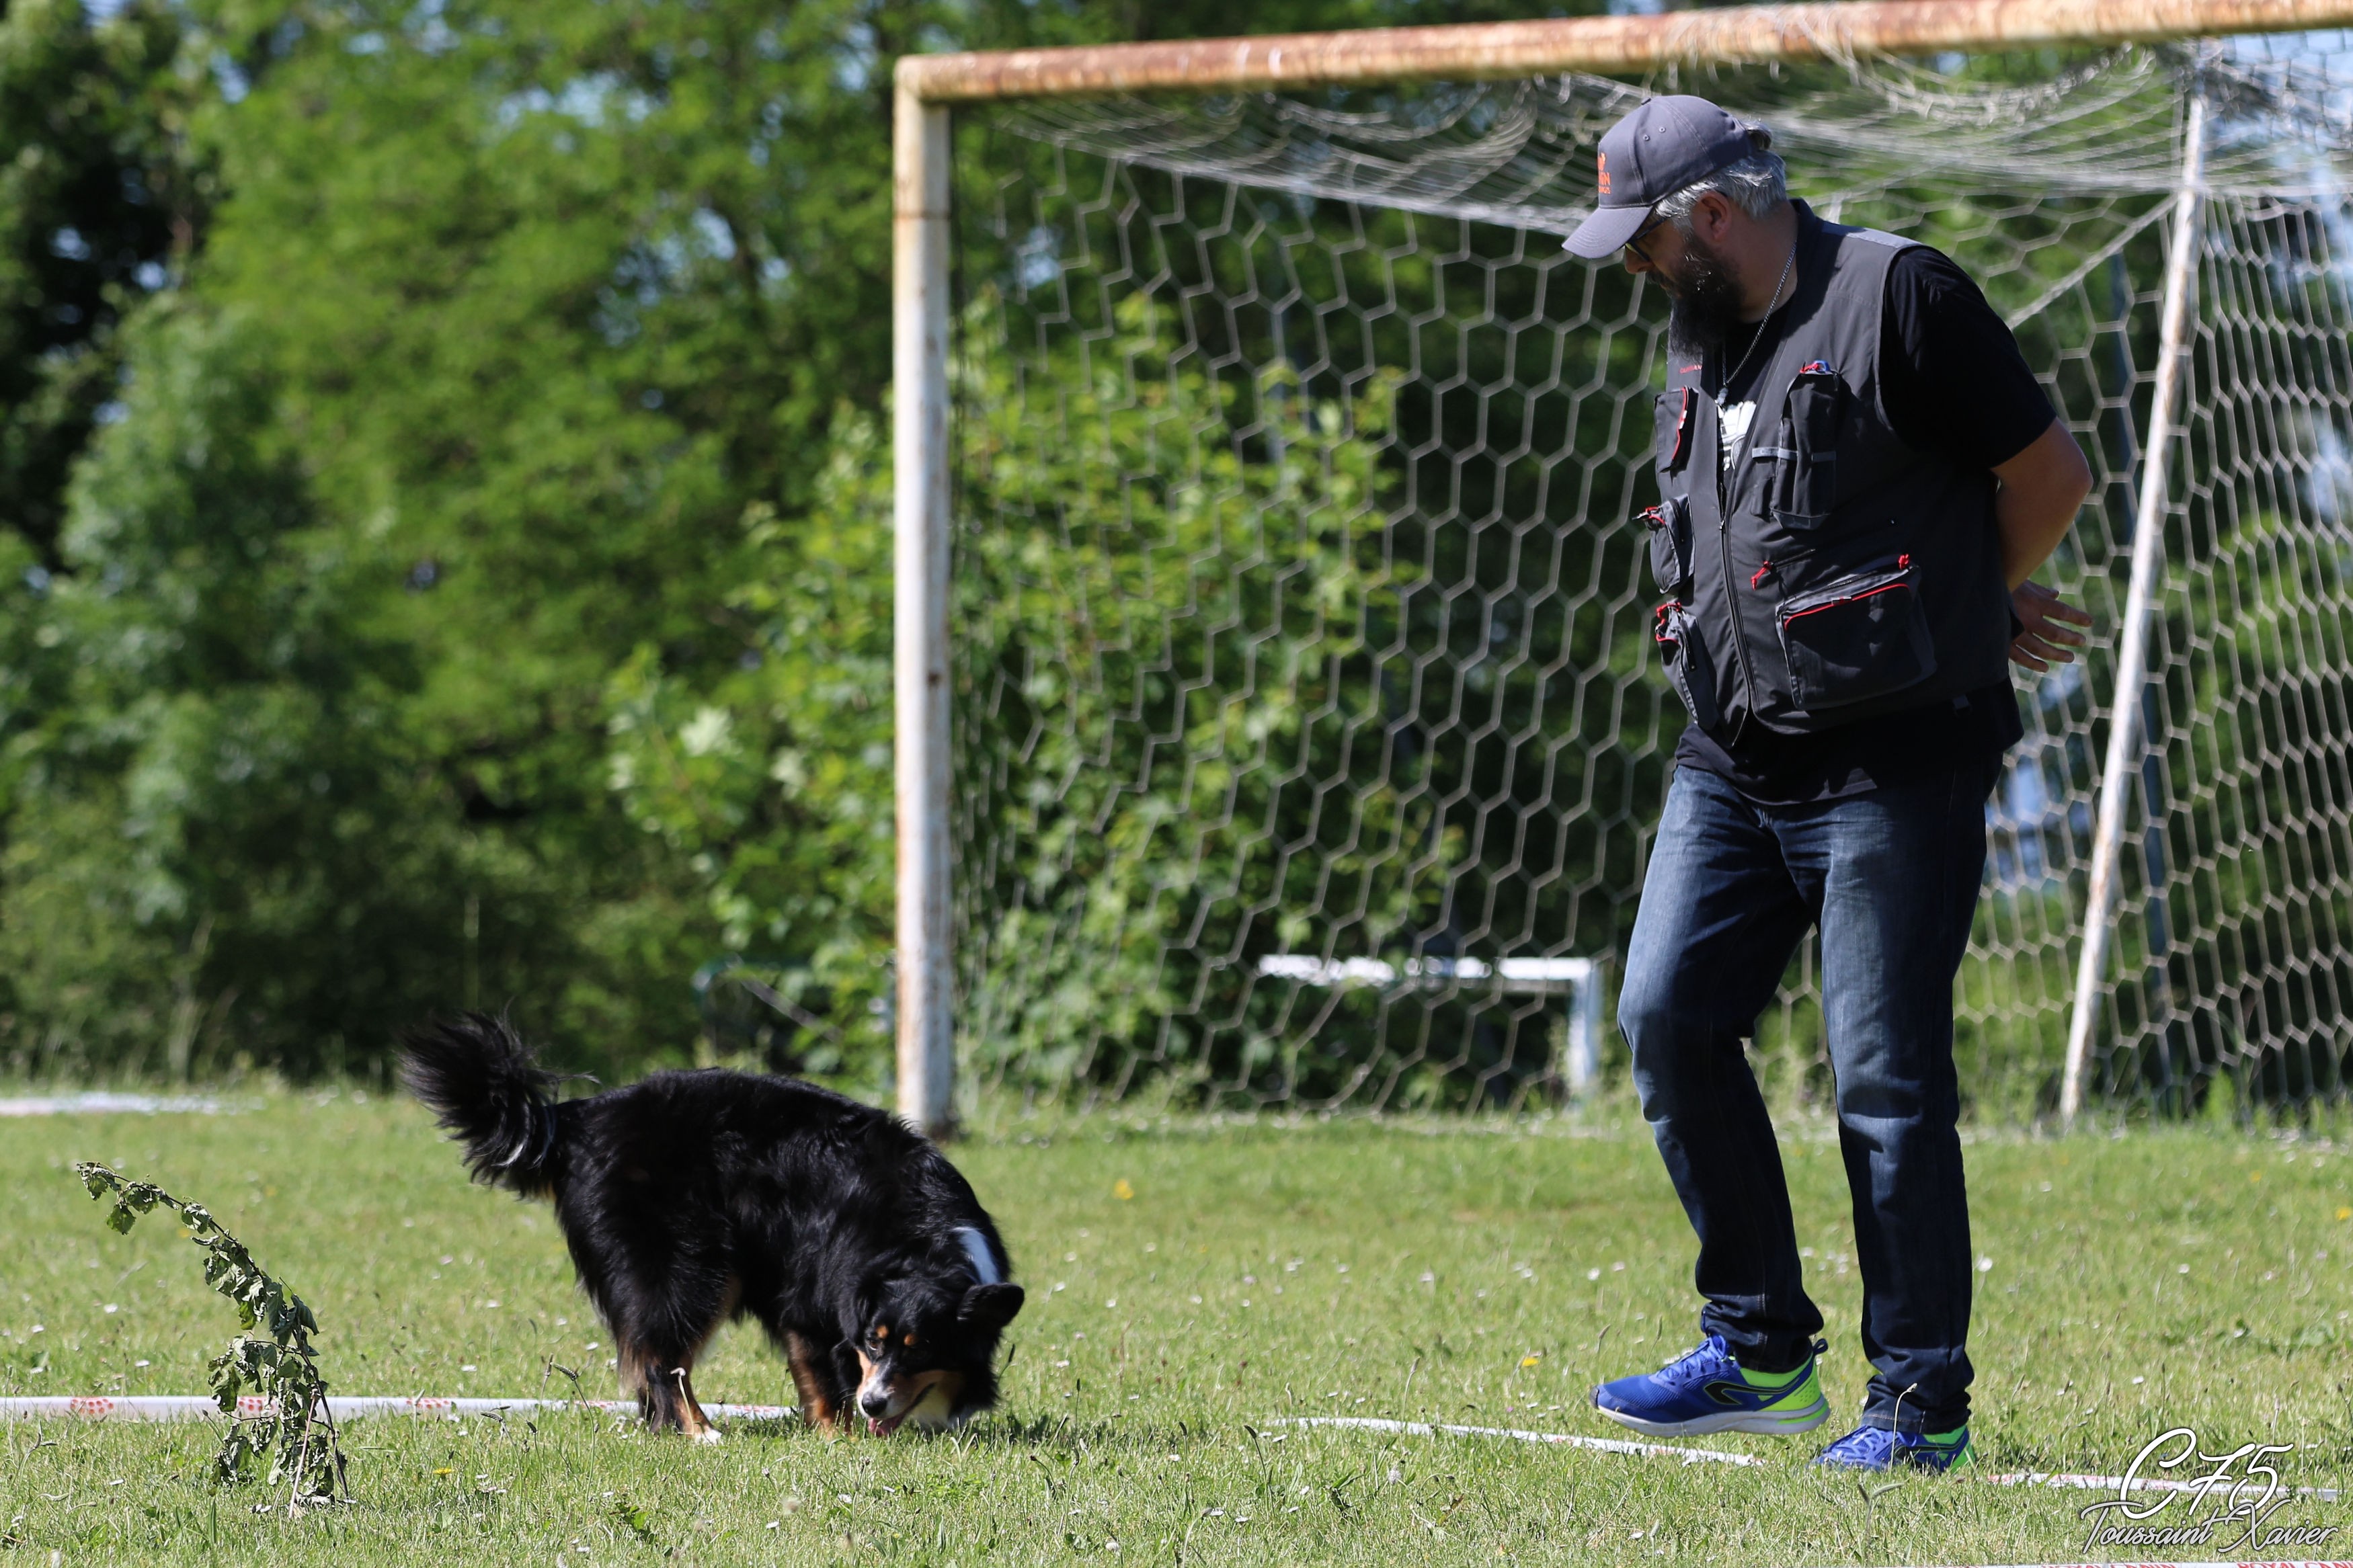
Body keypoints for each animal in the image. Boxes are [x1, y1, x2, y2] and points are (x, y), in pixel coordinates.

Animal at [400, 1013, 1023, 1440]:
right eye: (874, 1340)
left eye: (921, 1349)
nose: (874, 1403)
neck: (919, 1242)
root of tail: (579, 1115)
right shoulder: (808, 1299)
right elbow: (826, 1379)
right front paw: (841, 1436)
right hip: (689, 1267)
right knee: (660, 1358)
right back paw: (699, 1431)